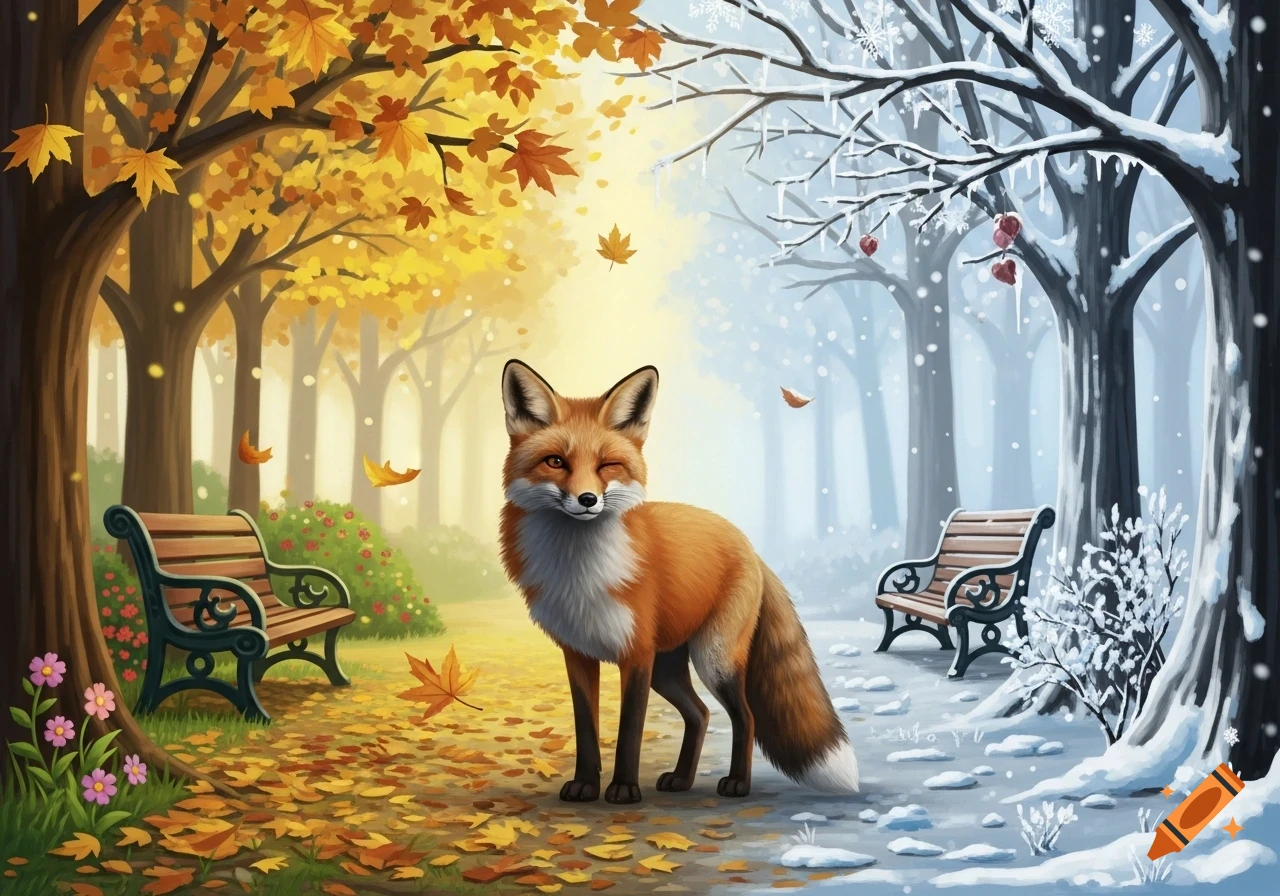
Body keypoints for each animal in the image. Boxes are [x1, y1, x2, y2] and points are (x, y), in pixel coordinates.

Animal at [498, 360, 858, 804]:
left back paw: (737, 783)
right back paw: (682, 779)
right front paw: (585, 785)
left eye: (607, 465)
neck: (578, 569)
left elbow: (629, 731)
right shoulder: (578, 654)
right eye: (555, 462)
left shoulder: (636, 655)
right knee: (700, 714)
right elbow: (586, 729)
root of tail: (747, 544)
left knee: (746, 716)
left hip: (713, 659)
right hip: (668, 669)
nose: (587, 500)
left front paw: (623, 789)